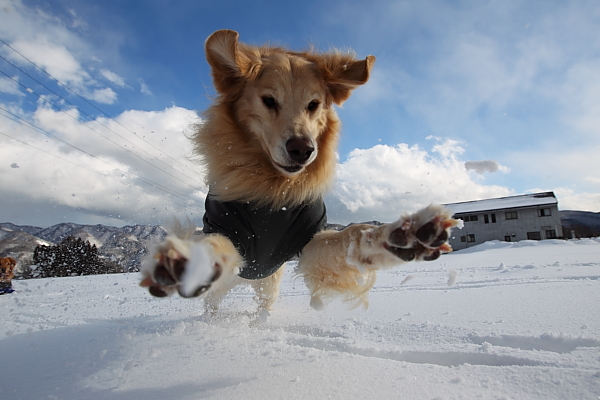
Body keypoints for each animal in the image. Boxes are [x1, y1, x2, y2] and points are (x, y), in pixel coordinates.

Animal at [141, 29, 460, 312]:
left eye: (314, 104)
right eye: (269, 100)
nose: (302, 149)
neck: (273, 189)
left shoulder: (309, 240)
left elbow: (352, 235)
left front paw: (403, 234)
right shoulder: (227, 229)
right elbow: (212, 244)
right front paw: (186, 260)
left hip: (268, 284)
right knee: (213, 307)